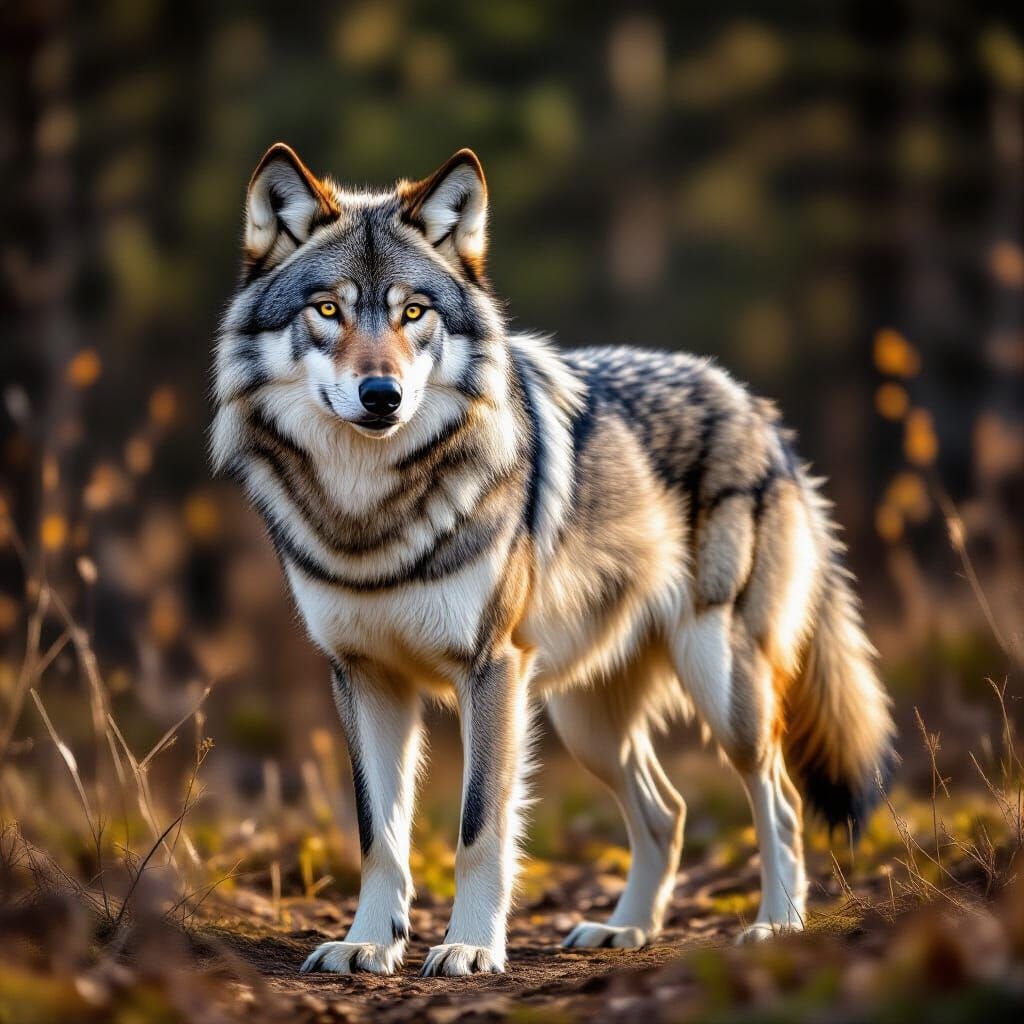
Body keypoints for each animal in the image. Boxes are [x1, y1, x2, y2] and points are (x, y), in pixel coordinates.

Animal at [211, 144, 895, 977]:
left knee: (782, 800)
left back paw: (776, 926)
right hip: (586, 719)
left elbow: (479, 829)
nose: (382, 395)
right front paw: (369, 943)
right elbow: (380, 834)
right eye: (329, 310)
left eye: (414, 313)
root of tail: (757, 409)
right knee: (668, 811)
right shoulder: (364, 678)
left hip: (719, 683)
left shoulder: (492, 670)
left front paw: (471, 947)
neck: (371, 513)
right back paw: (625, 930)